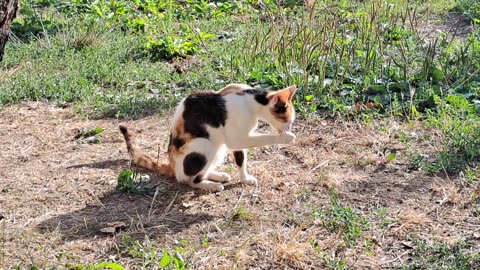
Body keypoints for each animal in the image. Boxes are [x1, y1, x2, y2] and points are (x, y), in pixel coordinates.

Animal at [119, 83, 296, 191]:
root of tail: (172, 164)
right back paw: (212, 185)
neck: (250, 100)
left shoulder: (236, 141)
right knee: (188, 180)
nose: (289, 127)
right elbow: (263, 138)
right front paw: (286, 138)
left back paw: (217, 175)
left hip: (219, 147)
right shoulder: (238, 137)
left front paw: (245, 179)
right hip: (204, 144)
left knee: (199, 172)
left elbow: (241, 160)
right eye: (287, 120)